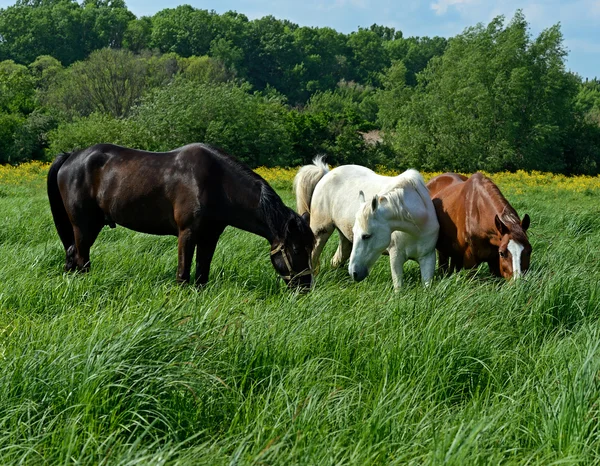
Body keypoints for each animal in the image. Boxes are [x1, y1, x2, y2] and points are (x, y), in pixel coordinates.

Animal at [48, 143, 314, 288]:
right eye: (296, 249)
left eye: (310, 248)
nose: (305, 287)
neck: (218, 183)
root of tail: (71, 156)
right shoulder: (187, 233)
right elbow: (183, 274)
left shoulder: (209, 237)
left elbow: (202, 275)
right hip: (84, 226)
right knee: (81, 260)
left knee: (72, 255)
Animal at [292, 158, 438, 290]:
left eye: (366, 236)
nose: (354, 273)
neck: (417, 227)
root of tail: (326, 174)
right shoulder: (396, 257)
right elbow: (398, 288)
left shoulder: (428, 258)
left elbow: (427, 288)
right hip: (320, 233)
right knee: (313, 257)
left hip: (345, 240)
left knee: (336, 260)